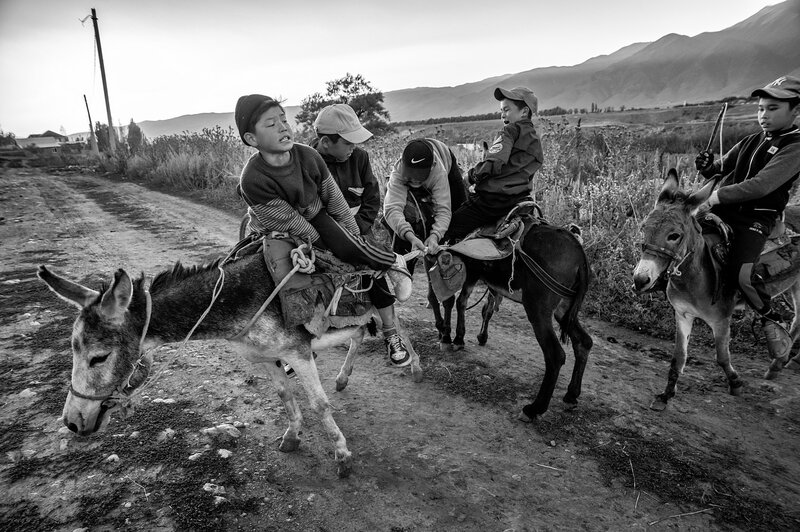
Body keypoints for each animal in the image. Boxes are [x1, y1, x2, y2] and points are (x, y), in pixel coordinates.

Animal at [37, 250, 423, 479]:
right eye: (73, 351)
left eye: (98, 357)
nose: (72, 422)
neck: (241, 296)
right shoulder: (268, 358)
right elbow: (286, 397)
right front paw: (292, 437)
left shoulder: (298, 353)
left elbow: (319, 404)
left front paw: (342, 456)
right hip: (350, 323)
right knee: (357, 336)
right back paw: (343, 378)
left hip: (382, 303)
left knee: (395, 326)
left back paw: (411, 362)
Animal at [432, 219, 593, 421]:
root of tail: (580, 254)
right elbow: (474, 305)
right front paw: (467, 337)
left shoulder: (470, 269)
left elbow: (456, 301)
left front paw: (452, 338)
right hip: (564, 311)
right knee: (584, 342)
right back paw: (571, 395)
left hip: (537, 310)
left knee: (555, 355)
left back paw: (534, 409)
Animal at [632, 169, 800, 411]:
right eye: (643, 228)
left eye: (674, 235)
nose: (640, 280)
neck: (693, 277)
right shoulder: (683, 314)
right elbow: (679, 357)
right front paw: (665, 395)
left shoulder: (721, 320)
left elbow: (721, 356)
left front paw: (736, 383)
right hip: (794, 284)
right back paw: (780, 363)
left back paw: (780, 358)